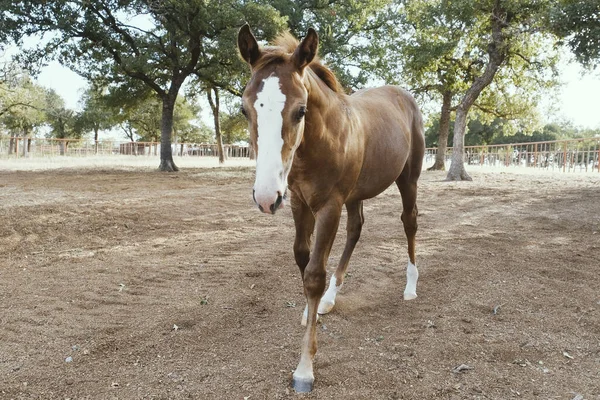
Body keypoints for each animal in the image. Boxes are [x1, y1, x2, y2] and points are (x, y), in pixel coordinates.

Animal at [237, 24, 424, 390]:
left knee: (409, 222)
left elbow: (314, 274)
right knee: (356, 229)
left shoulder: (329, 206)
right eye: (245, 110)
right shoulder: (298, 202)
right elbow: (302, 257)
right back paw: (329, 299)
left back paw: (410, 286)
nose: (265, 197)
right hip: (354, 194)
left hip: (407, 180)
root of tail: (404, 96)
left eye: (301, 110)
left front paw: (304, 368)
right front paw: (309, 312)